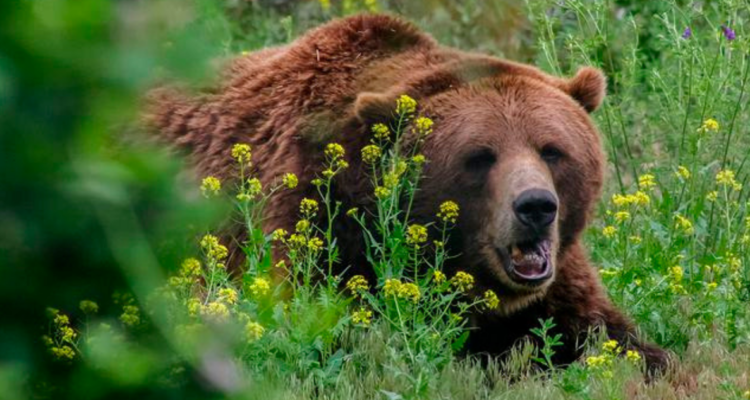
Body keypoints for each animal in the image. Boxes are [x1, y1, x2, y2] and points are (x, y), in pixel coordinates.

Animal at [145, 14, 670, 374]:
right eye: (481, 156)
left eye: (552, 149)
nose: (536, 206)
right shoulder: (318, 230)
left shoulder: (556, 282)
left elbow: (606, 334)